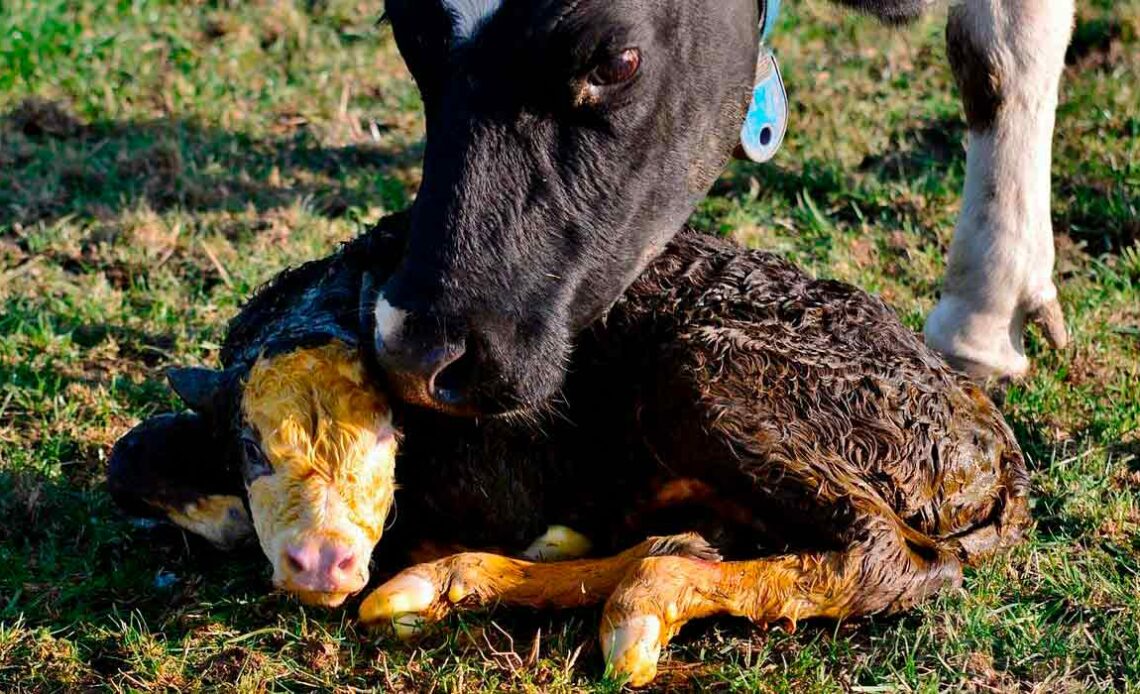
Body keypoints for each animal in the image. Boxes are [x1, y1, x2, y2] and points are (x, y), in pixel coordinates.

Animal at [108, 214, 1035, 683]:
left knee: (890, 558)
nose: (322, 562)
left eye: (387, 436)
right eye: (252, 446)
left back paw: (637, 607)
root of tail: (990, 438)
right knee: (696, 537)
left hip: (716, 375)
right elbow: (131, 452)